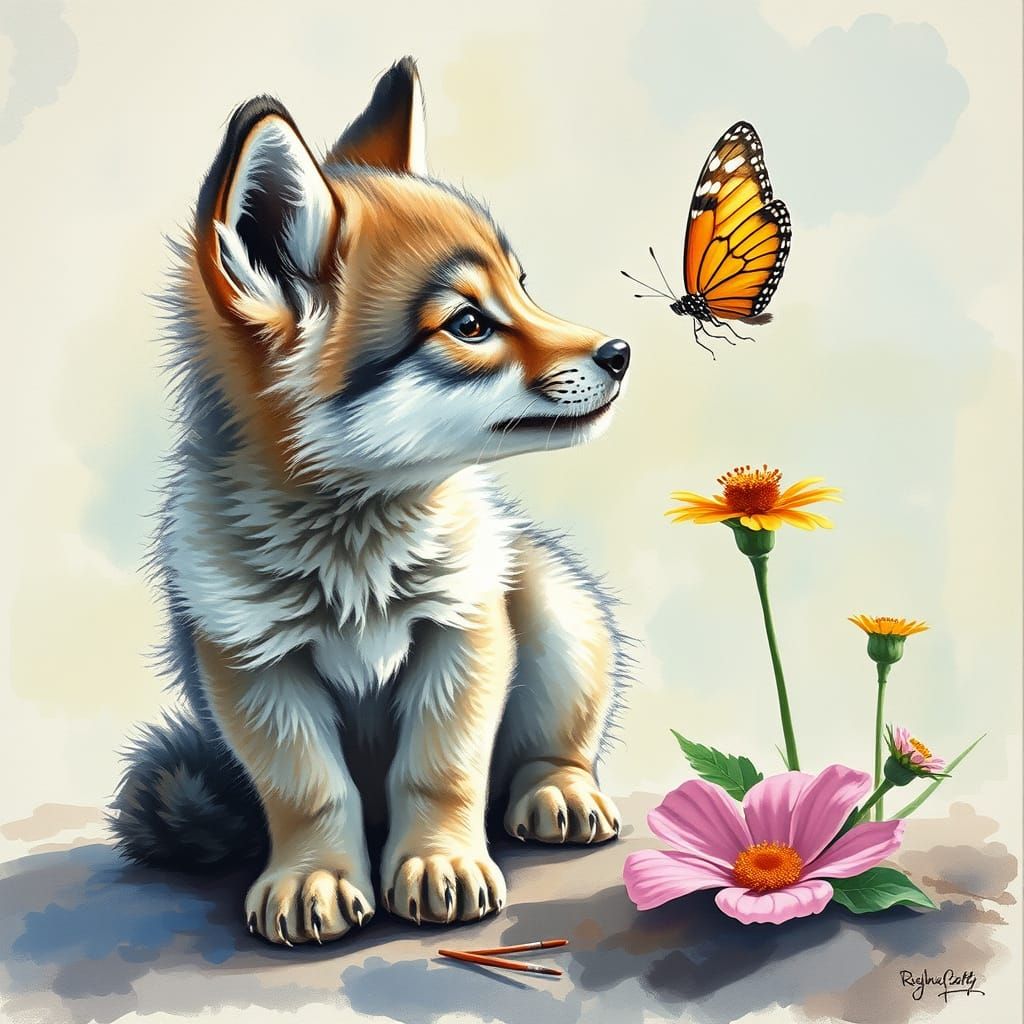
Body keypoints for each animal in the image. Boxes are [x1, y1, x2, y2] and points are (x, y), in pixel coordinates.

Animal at [111, 57, 632, 946]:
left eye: (524, 290)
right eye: (469, 324)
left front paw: (439, 860)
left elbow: (441, 770)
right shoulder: (253, 666)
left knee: (551, 745)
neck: (351, 544)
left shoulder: (464, 632)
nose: (622, 352)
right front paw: (314, 874)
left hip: (553, 609)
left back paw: (556, 789)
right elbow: (310, 789)